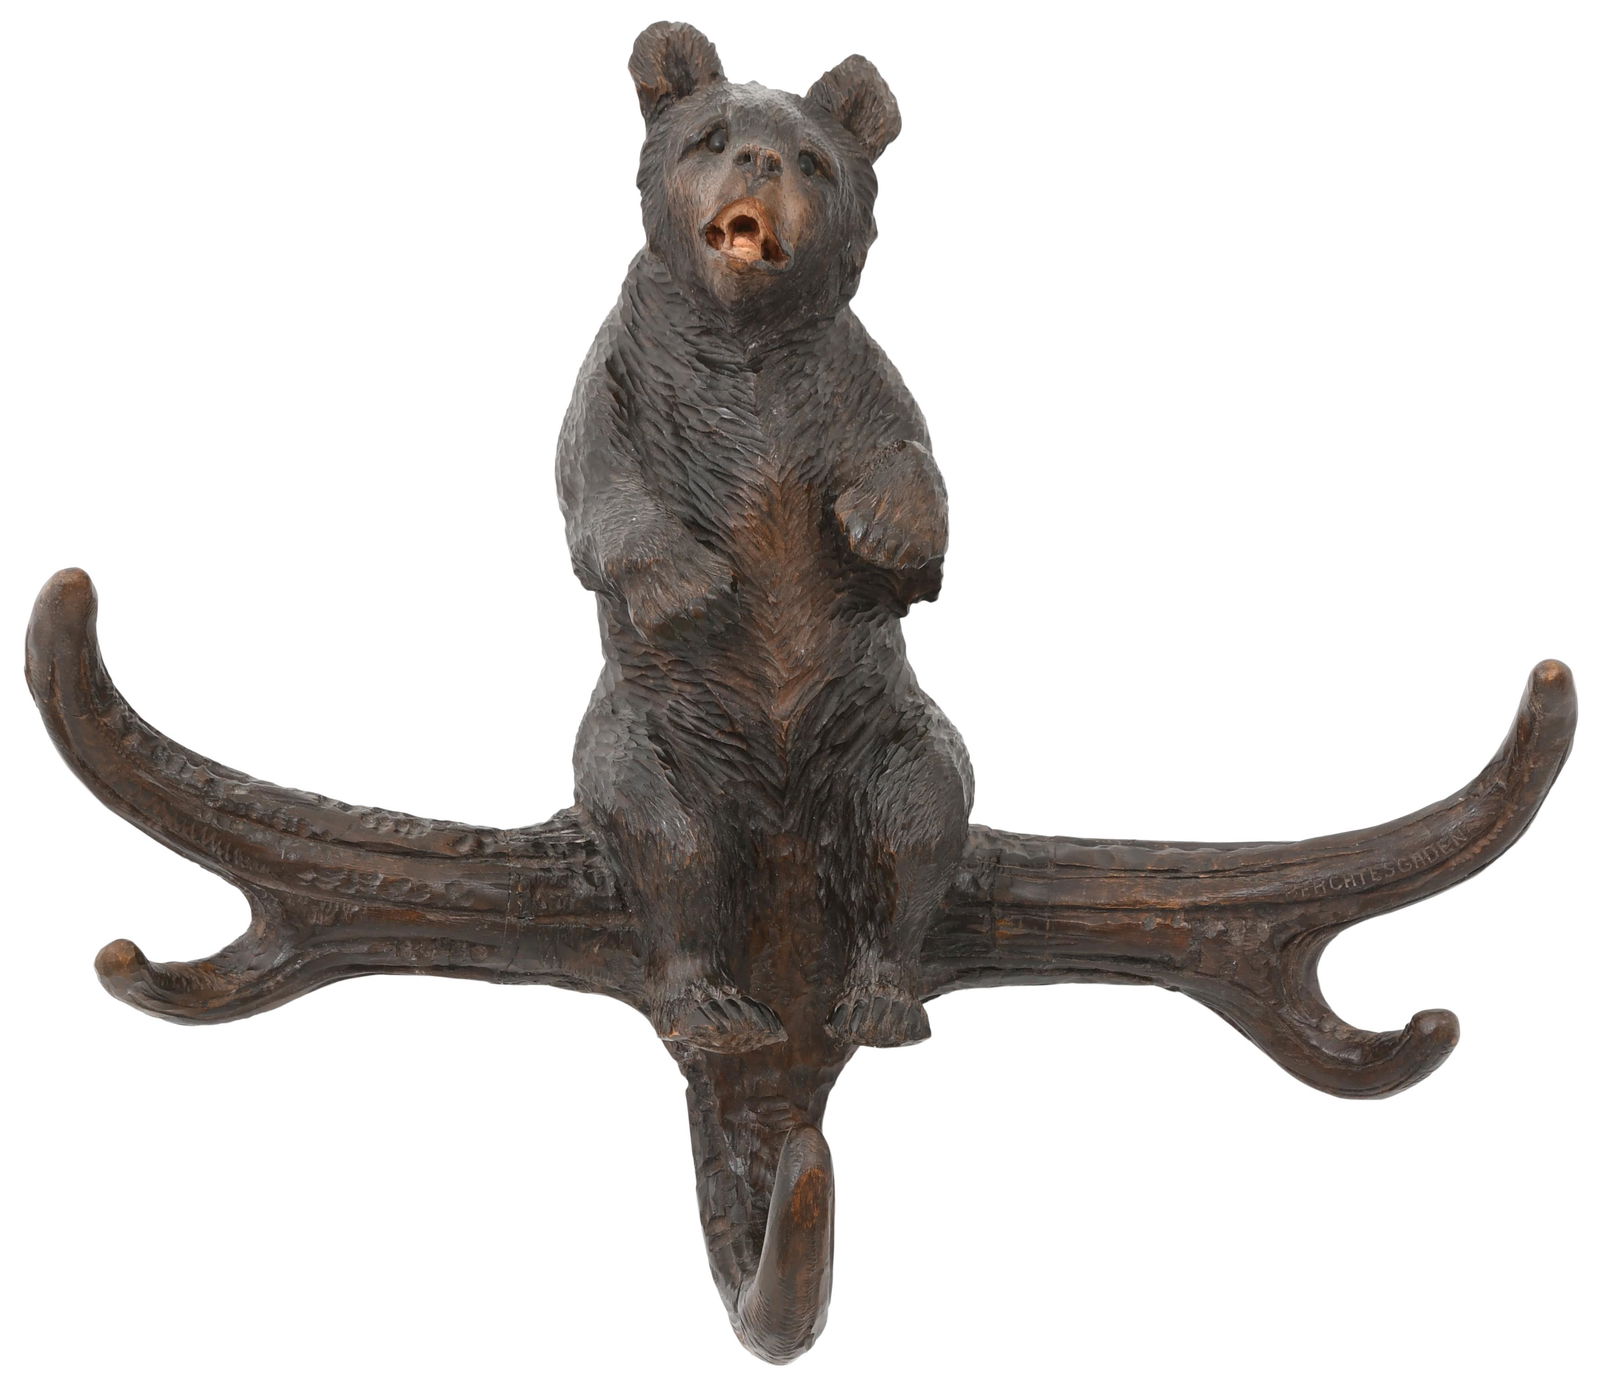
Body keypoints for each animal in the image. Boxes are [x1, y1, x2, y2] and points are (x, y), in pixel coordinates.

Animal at [559, 21, 972, 1053]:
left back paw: (880, 995)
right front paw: (684, 581)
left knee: (917, 829)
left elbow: (916, 465)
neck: (745, 341)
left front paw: (888, 529)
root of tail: (784, 826)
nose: (761, 158)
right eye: (712, 136)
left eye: (815, 159)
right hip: (651, 742)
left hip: (888, 738)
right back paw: (712, 1006)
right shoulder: (619, 378)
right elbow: (599, 487)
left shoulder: (855, 388)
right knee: (671, 853)